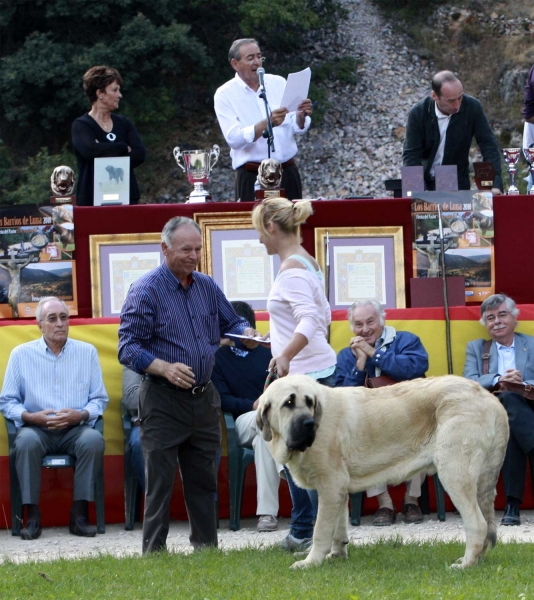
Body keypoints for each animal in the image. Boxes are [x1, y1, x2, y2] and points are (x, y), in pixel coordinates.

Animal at [258, 376, 510, 568]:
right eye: (289, 403)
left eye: (309, 402)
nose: (309, 424)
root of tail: (490, 399)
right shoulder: (338, 491)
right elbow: (338, 527)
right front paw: (336, 555)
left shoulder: (329, 487)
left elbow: (320, 530)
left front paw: (311, 562)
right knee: (487, 523)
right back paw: (476, 560)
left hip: (454, 473)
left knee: (478, 524)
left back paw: (465, 564)